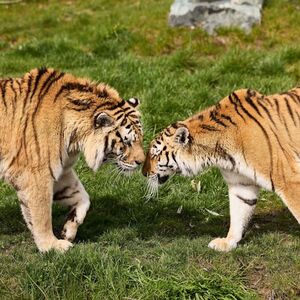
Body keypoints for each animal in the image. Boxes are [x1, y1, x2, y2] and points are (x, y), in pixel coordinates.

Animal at [0, 67, 145, 252]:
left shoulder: (61, 170)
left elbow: (82, 196)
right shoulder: (36, 174)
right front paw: (51, 246)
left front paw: (68, 231)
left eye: (140, 138)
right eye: (126, 142)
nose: (141, 162)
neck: (74, 137)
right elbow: (42, 214)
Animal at [142, 88, 300, 252]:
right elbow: (239, 212)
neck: (217, 152)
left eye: (154, 154)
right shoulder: (241, 184)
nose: (143, 172)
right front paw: (228, 242)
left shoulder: (289, 180)